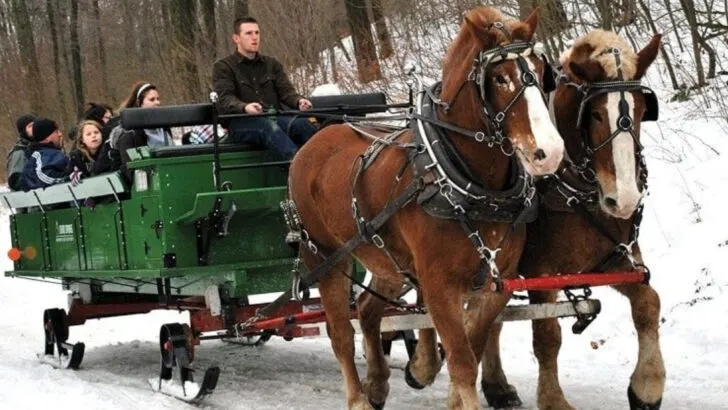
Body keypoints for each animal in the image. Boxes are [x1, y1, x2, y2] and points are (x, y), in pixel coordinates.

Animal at [286, 6, 564, 410]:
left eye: (543, 72)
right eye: (500, 78)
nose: (550, 152)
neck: (467, 183)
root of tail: (312, 142)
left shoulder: (495, 286)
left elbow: (472, 350)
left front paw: (431, 378)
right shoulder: (438, 285)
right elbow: (462, 362)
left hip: (386, 260)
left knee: (367, 310)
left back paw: (377, 383)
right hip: (323, 257)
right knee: (340, 334)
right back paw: (358, 397)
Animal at [477, 30, 665, 409]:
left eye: (642, 108)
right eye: (594, 114)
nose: (624, 199)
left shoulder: (615, 261)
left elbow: (648, 304)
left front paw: (647, 386)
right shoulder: (539, 273)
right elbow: (547, 336)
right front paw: (552, 398)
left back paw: (496, 386)